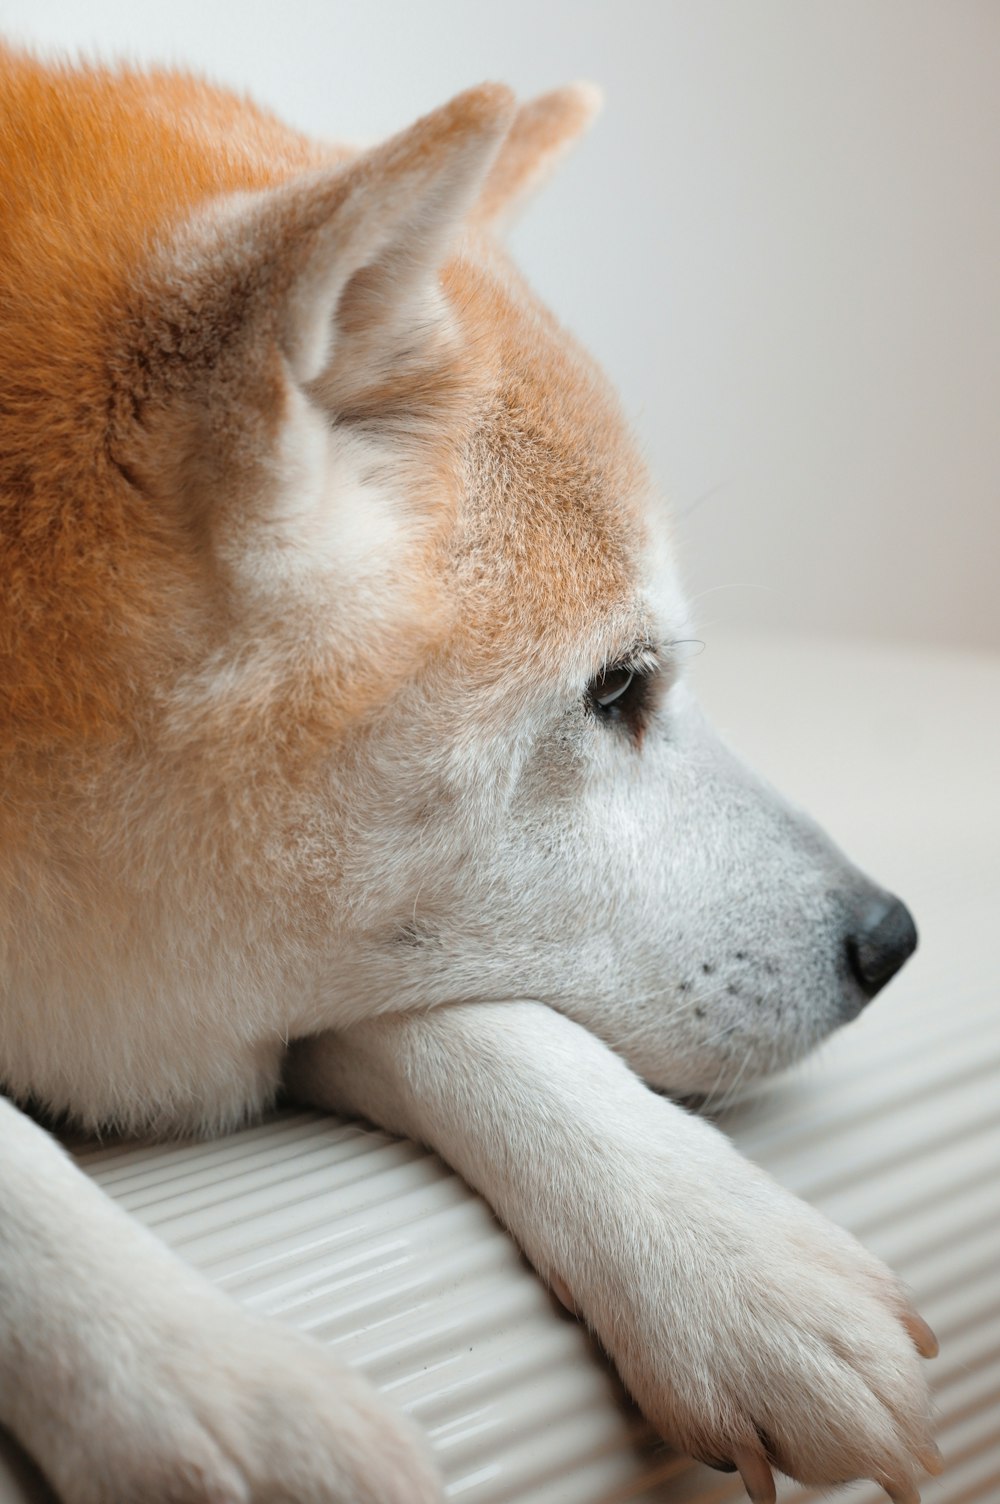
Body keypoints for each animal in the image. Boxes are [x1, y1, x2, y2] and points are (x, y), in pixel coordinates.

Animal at [0, 43, 938, 1504]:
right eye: (617, 687)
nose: (890, 940)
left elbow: (473, 1016)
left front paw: (727, 1257)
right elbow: (14, 1172)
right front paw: (200, 1376)